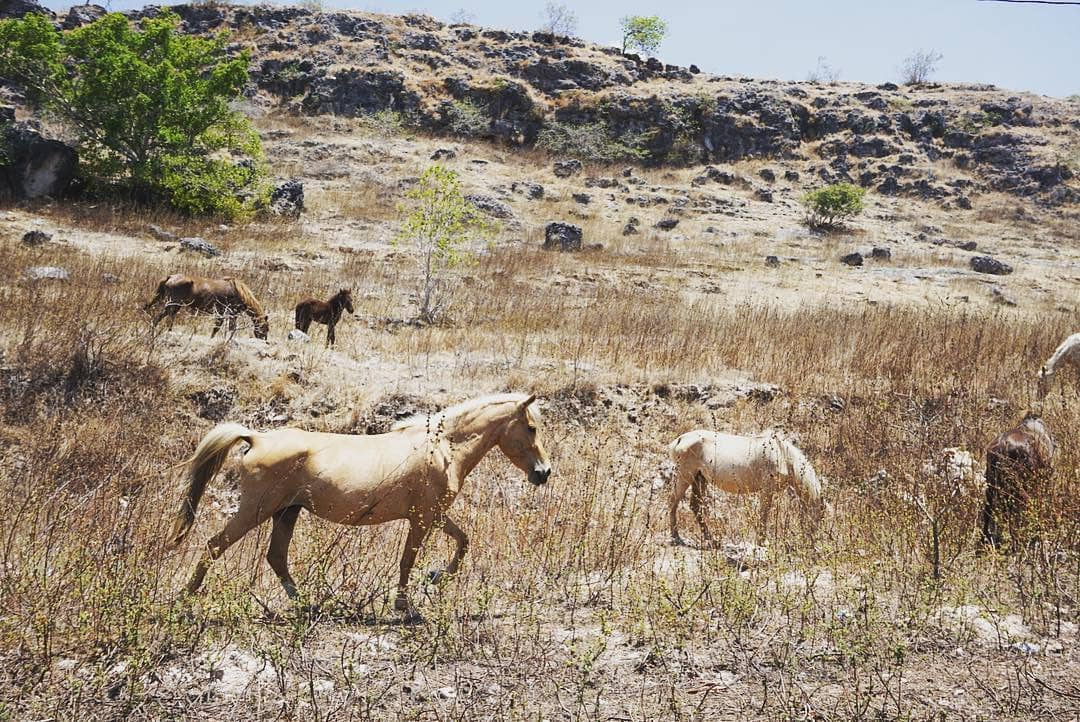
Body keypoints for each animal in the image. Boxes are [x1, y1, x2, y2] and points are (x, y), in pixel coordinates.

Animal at [665, 431, 825, 543]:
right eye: (816, 517)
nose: (811, 542)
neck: (783, 455)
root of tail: (680, 439)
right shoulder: (767, 490)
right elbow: (764, 514)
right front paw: (761, 541)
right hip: (685, 476)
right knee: (673, 501)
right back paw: (676, 536)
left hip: (699, 479)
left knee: (695, 506)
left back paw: (710, 538)